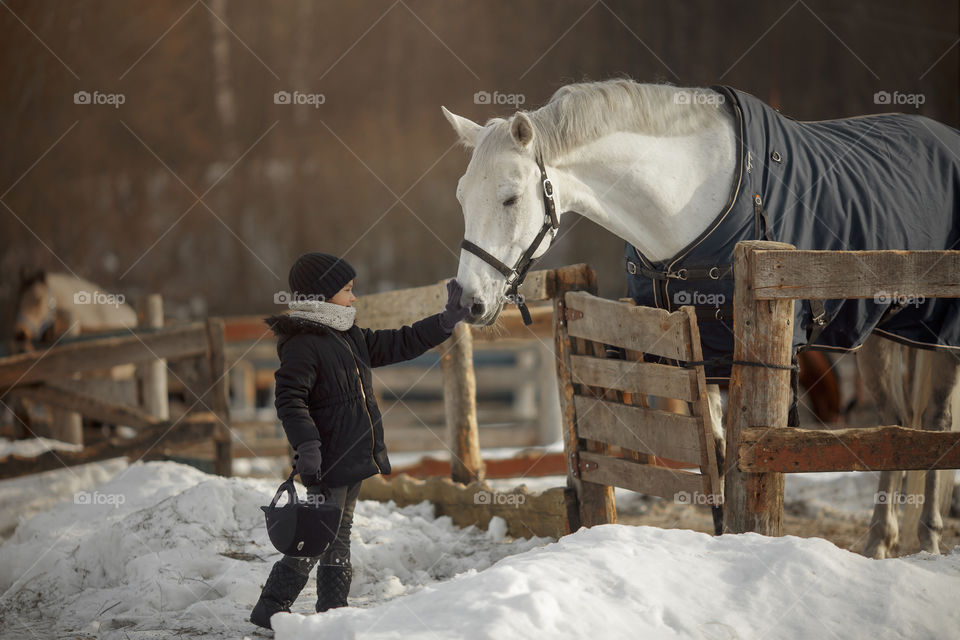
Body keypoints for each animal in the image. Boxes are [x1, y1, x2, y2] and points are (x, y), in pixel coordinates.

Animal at [442, 79, 960, 558]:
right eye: (462, 199)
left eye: (510, 198)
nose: (469, 302)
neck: (688, 200)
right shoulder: (703, 356)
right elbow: (715, 451)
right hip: (881, 333)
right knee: (895, 423)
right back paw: (879, 540)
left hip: (943, 333)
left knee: (937, 421)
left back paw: (929, 539)